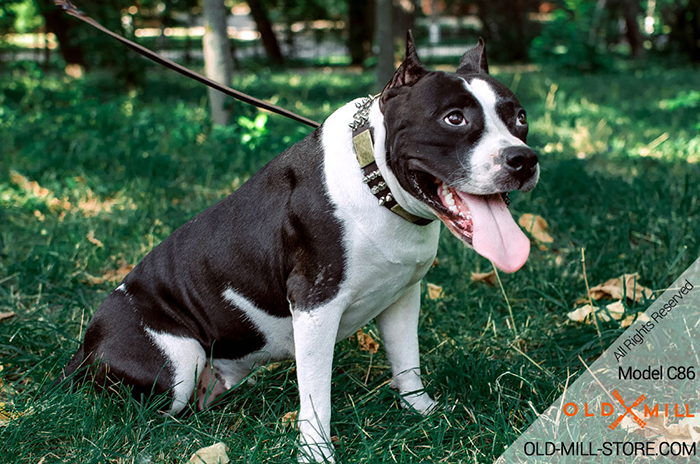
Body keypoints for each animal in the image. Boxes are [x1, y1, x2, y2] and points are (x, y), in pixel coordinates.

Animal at [61, 34, 540, 462]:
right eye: (454, 119)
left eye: (520, 117)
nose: (523, 159)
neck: (377, 185)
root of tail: (86, 348)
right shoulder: (315, 305)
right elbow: (316, 394)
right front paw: (316, 452)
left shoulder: (403, 296)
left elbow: (407, 360)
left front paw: (422, 411)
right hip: (178, 359)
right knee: (152, 412)